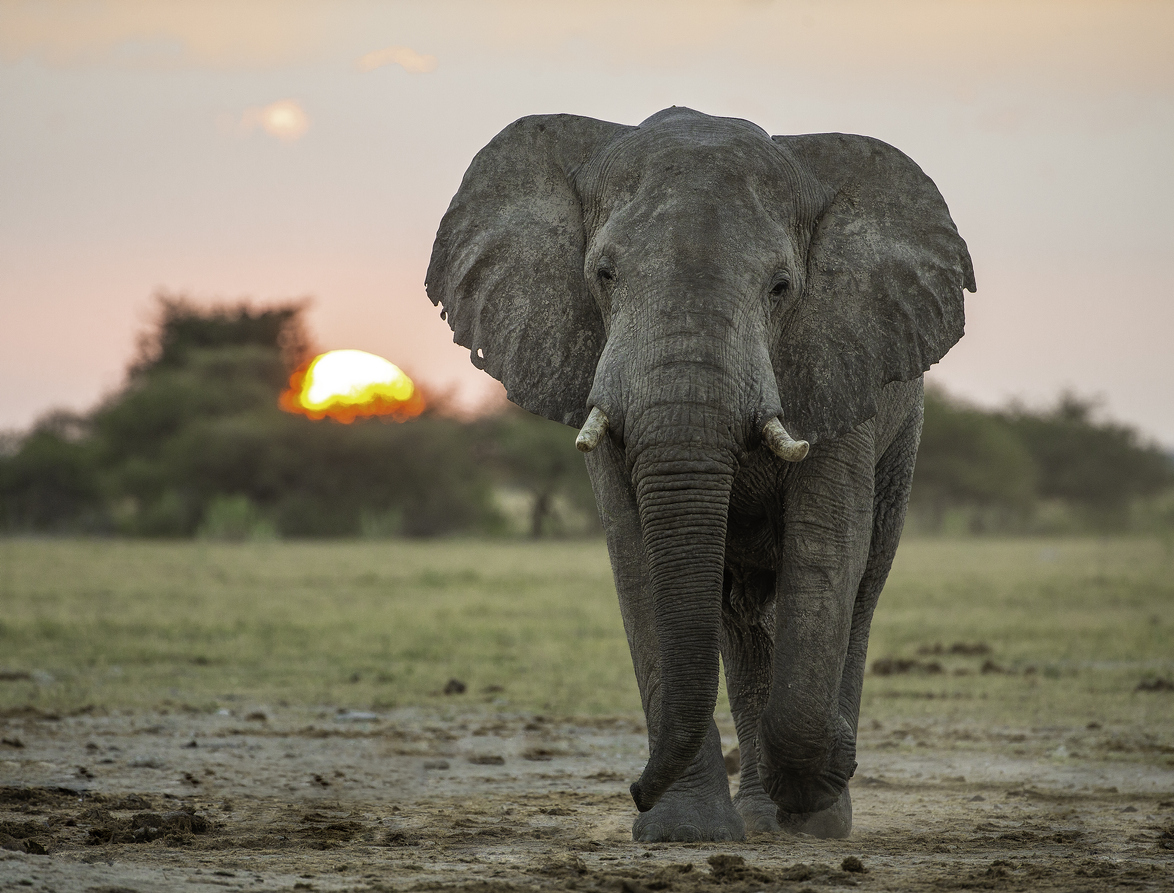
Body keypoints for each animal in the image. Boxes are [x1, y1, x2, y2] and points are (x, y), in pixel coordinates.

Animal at [422, 107, 972, 840]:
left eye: (781, 288)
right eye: (603, 274)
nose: (633, 789)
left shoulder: (842, 362)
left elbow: (827, 549)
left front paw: (814, 790)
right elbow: (636, 559)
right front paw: (684, 832)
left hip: (903, 433)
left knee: (861, 584)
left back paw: (810, 814)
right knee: (737, 614)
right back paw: (764, 818)